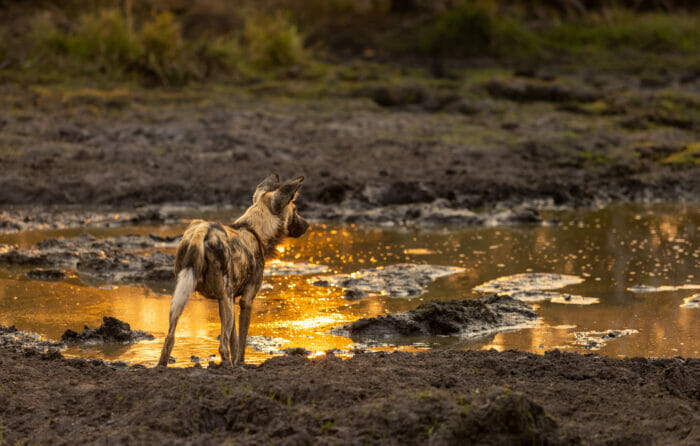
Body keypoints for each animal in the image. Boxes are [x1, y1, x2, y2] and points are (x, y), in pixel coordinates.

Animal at [161, 174, 312, 366]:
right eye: (296, 210)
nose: (307, 225)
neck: (255, 230)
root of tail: (201, 231)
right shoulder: (246, 300)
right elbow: (241, 343)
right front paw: (240, 365)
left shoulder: (232, 300)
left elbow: (234, 340)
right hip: (223, 298)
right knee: (222, 346)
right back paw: (227, 367)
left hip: (186, 297)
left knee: (169, 340)